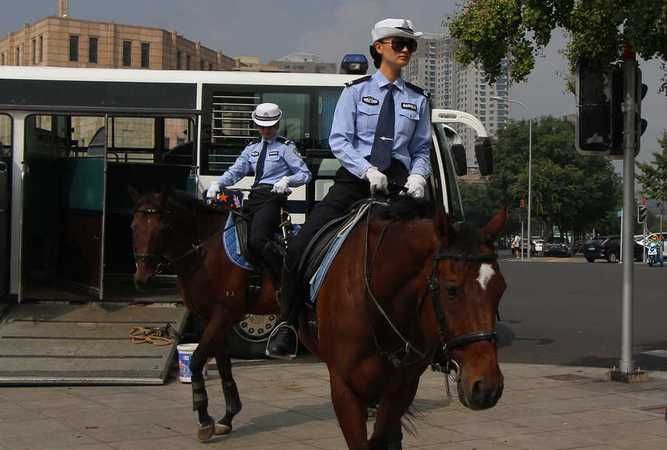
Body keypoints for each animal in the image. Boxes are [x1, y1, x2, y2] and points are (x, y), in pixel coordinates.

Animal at [129, 188, 278, 442]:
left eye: (163, 228)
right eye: (133, 226)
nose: (142, 278)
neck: (206, 253)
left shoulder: (224, 313)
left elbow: (198, 360)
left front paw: (205, 419)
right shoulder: (210, 317)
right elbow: (223, 363)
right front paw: (227, 417)